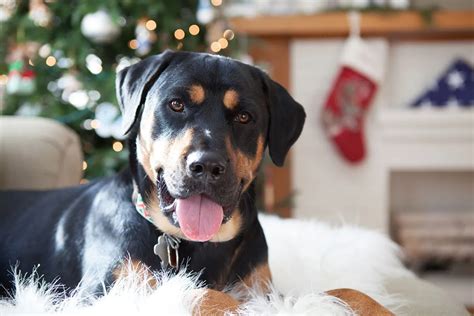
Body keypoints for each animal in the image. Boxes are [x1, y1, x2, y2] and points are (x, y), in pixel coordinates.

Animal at [0, 50, 392, 314]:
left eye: (245, 117)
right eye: (176, 104)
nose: (206, 166)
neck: (197, 243)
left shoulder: (262, 287)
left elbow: (344, 291)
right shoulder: (104, 293)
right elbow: (199, 292)